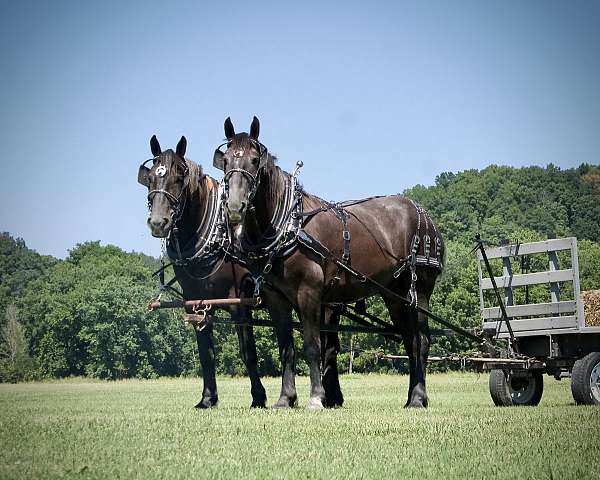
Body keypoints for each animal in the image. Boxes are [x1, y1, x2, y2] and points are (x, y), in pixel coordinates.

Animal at [135, 135, 296, 408]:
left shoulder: (239, 303)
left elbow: (248, 353)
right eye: (151, 179)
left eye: (179, 178)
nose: (158, 223)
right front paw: (208, 398)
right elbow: (206, 353)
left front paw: (258, 397)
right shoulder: (196, 304)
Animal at [216, 116, 446, 408]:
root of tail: (424, 215)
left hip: (419, 290)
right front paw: (286, 398)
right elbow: (286, 348)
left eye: (255, 160)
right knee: (410, 340)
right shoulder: (276, 298)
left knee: (421, 341)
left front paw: (316, 397)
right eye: (225, 161)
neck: (289, 224)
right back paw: (411, 397)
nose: (235, 207)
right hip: (394, 295)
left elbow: (313, 345)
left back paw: (418, 397)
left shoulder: (309, 294)